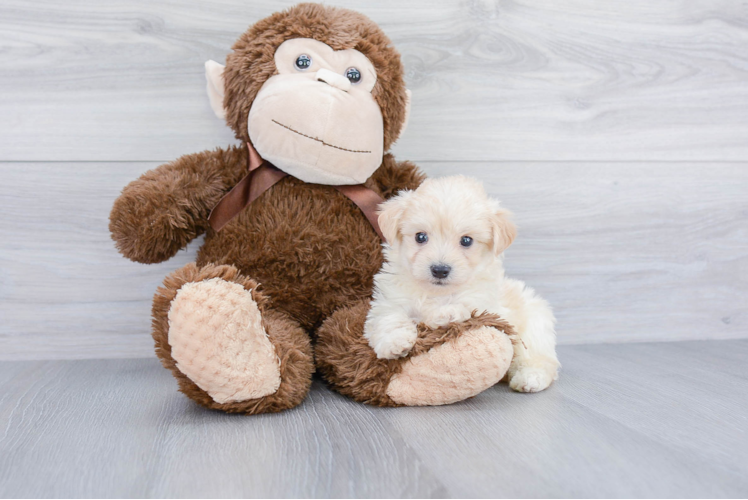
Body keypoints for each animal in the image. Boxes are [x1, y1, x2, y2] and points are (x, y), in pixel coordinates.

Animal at [366, 177, 560, 394]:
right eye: (420, 237)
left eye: (466, 241)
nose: (440, 270)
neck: (436, 292)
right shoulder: (390, 299)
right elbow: (389, 317)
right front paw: (394, 342)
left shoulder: (486, 303)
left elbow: (466, 305)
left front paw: (445, 313)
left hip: (535, 327)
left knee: (538, 358)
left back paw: (530, 378)